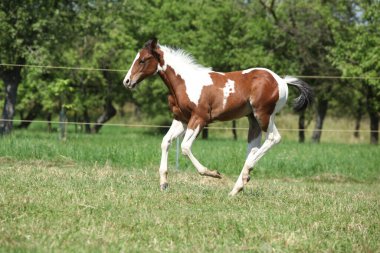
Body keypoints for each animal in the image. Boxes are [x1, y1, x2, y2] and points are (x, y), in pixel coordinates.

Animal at [123, 38, 314, 196]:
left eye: (143, 60)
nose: (127, 81)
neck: (185, 82)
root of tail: (281, 80)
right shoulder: (181, 119)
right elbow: (166, 141)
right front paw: (163, 183)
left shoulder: (199, 118)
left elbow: (185, 147)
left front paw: (212, 173)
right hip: (253, 119)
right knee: (253, 148)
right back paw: (238, 187)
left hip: (264, 115)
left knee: (274, 138)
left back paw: (246, 174)